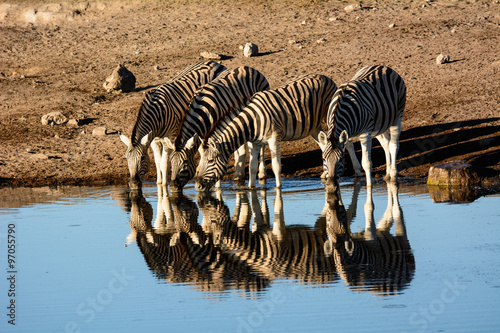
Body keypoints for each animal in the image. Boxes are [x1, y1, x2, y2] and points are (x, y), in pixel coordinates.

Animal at [119, 60, 227, 188]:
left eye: (141, 158)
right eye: (126, 158)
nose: (133, 184)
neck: (157, 113)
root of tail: (214, 62)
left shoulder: (169, 136)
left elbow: (164, 163)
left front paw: (164, 186)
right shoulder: (153, 139)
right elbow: (157, 162)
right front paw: (158, 183)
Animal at [193, 73, 338, 191]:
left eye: (210, 161)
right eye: (202, 160)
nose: (197, 186)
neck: (252, 121)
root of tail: (325, 77)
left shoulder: (274, 138)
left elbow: (276, 166)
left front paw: (278, 188)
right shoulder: (255, 142)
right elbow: (252, 167)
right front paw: (251, 188)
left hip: (329, 115)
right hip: (314, 126)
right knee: (323, 145)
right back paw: (324, 174)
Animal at [320, 64, 406, 192]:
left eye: (341, 159)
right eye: (323, 159)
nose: (330, 186)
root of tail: (383, 66)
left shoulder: (365, 133)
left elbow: (367, 163)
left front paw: (369, 188)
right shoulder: (347, 132)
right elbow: (349, 146)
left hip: (397, 116)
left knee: (393, 144)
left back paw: (393, 175)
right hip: (378, 124)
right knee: (386, 142)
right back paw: (388, 172)